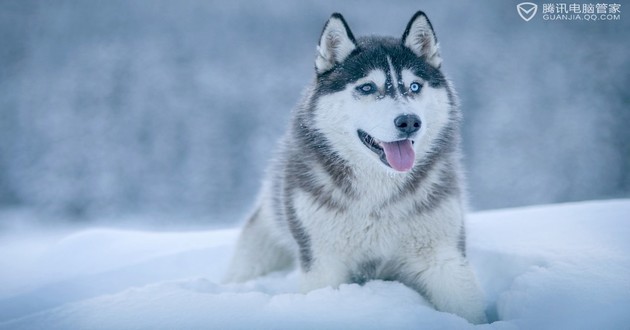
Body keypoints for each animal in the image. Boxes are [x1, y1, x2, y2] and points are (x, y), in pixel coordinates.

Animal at [226, 11, 488, 324]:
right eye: (367, 88)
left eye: (414, 86)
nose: (409, 121)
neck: (378, 195)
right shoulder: (324, 262)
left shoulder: (443, 256)